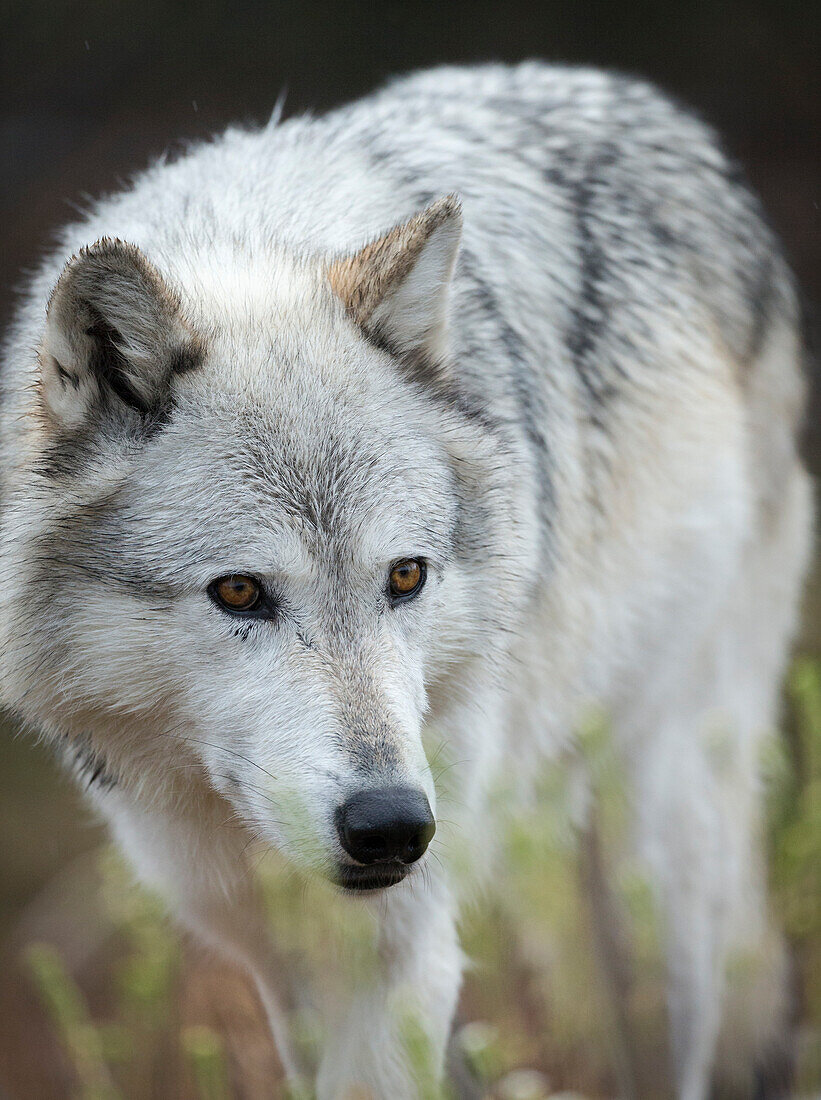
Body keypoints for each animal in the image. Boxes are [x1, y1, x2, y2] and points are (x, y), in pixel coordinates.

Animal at [0, 62, 805, 1100]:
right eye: (238, 592)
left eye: (406, 576)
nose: (390, 826)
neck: (252, 246)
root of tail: (650, 104)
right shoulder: (278, 961)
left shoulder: (399, 952)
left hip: (655, 866)